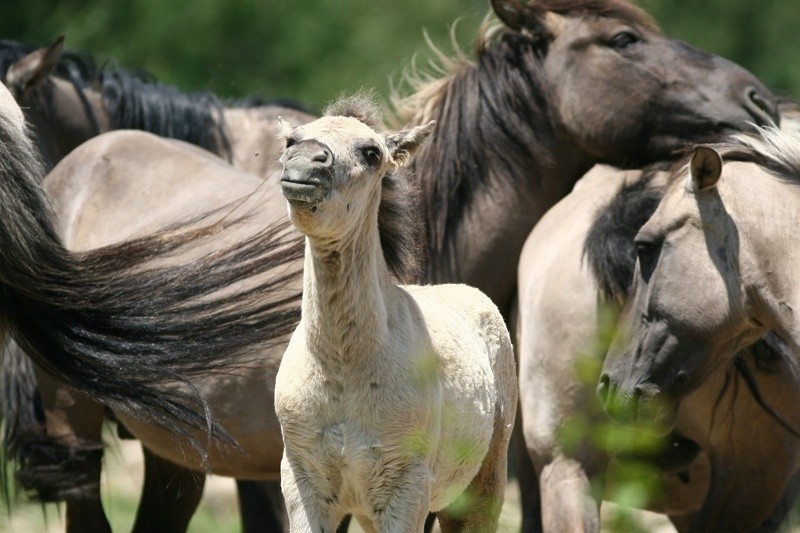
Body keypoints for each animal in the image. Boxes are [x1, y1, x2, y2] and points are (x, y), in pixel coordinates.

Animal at [272, 96, 516, 532]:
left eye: (371, 153)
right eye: (291, 140)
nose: (304, 161)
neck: (344, 369)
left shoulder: (406, 487)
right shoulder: (303, 485)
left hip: (481, 487)